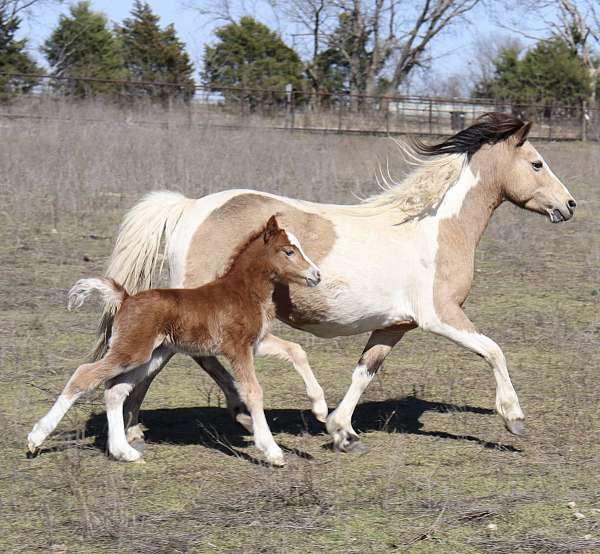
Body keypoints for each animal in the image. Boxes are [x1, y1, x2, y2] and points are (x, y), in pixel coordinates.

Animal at [27, 217, 324, 466]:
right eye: (288, 251)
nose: (316, 275)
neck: (243, 292)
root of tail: (125, 298)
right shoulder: (237, 348)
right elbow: (253, 391)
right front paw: (272, 451)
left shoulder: (256, 342)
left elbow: (296, 350)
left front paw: (319, 409)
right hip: (131, 351)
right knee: (84, 375)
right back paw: (35, 439)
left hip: (151, 355)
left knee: (115, 391)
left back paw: (124, 452)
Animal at [92, 112, 572, 452]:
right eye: (537, 163)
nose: (568, 205)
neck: (436, 228)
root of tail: (190, 207)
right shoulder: (441, 315)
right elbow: (493, 350)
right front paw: (514, 417)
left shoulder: (396, 325)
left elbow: (366, 370)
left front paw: (341, 431)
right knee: (186, 359)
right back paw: (163, 425)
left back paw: (156, 426)